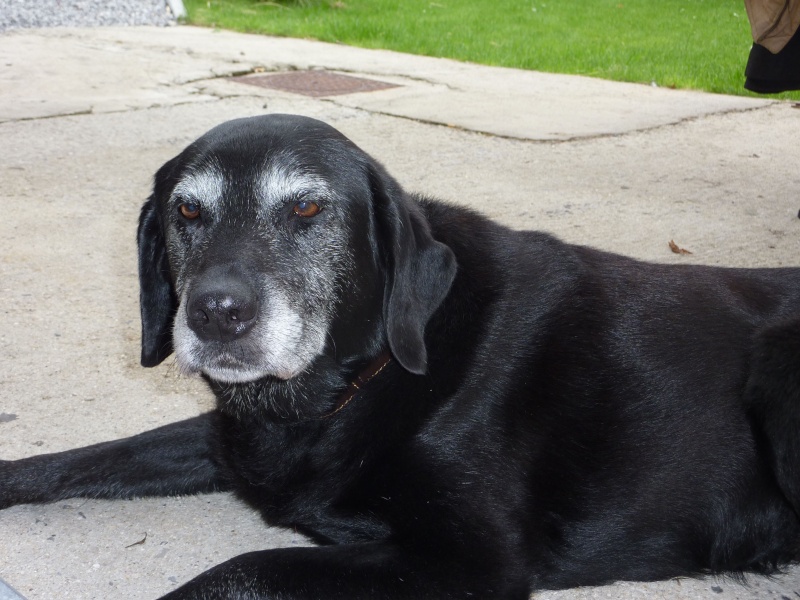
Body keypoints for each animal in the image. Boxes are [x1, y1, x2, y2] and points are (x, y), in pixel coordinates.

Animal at [1, 113, 800, 600]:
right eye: (188, 212)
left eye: (308, 209)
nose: (215, 314)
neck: (344, 392)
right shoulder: (231, 439)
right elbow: (93, 456)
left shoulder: (469, 561)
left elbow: (239, 568)